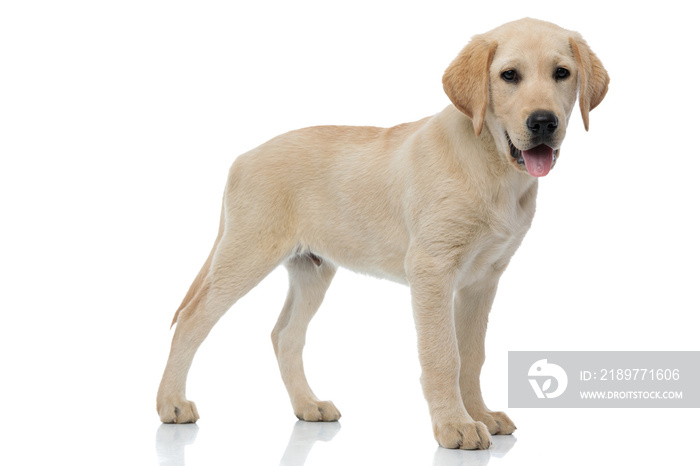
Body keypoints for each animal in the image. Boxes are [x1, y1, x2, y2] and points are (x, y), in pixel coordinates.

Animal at [157, 17, 608, 448]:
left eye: (562, 73)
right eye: (509, 75)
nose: (544, 122)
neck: (492, 165)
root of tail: (242, 158)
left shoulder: (483, 280)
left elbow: (472, 353)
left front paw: (479, 413)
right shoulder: (432, 270)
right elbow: (444, 355)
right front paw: (455, 425)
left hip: (312, 269)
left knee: (284, 335)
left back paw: (308, 404)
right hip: (246, 253)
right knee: (191, 319)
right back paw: (171, 404)